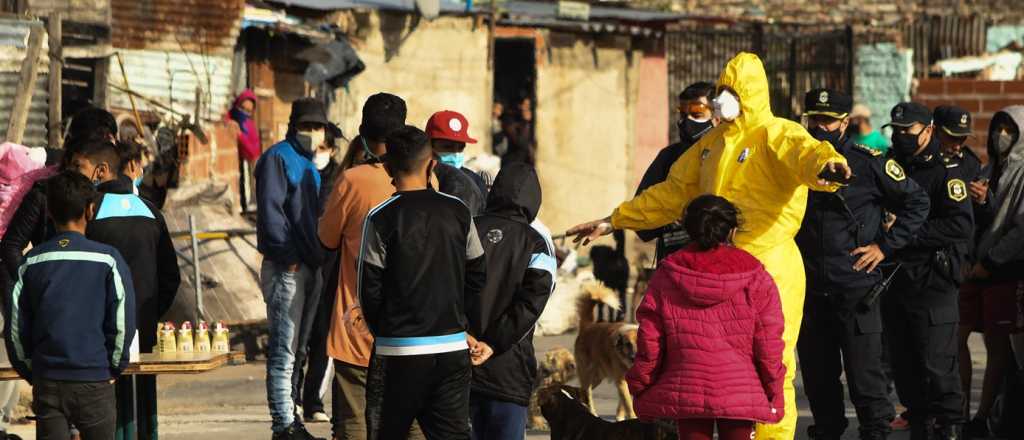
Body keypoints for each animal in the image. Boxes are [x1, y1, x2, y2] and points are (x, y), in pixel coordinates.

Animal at [573, 280, 634, 421]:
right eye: (628, 344)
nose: (634, 358)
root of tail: (587, 326)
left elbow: (623, 403)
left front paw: (619, 417)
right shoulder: (621, 381)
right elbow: (628, 403)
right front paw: (633, 417)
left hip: (598, 376)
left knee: (581, 391)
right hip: (587, 373)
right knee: (587, 392)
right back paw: (592, 413)